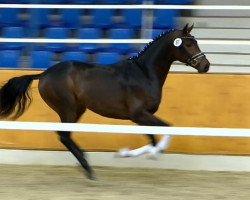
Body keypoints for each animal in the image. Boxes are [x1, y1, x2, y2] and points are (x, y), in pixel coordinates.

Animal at [0, 23, 209, 180]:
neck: (144, 74)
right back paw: (88, 168)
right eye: (188, 44)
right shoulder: (138, 114)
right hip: (68, 109)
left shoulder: (144, 116)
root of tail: (44, 74)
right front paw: (146, 152)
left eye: (195, 41)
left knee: (66, 136)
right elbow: (166, 129)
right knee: (64, 135)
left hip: (78, 110)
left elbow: (151, 138)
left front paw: (130, 153)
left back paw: (85, 163)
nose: (205, 66)